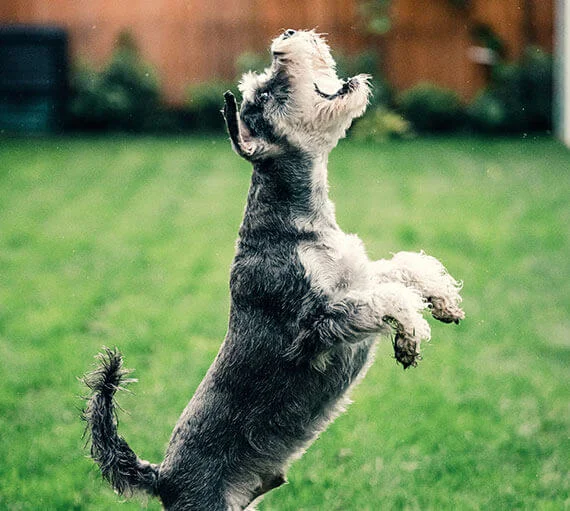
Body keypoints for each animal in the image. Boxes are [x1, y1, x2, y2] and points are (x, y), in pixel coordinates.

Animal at [82, 29, 464, 511]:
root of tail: (161, 476)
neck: (296, 218)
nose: (286, 36)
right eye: (265, 93)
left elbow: (404, 268)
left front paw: (444, 301)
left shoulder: (357, 278)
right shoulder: (315, 325)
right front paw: (411, 333)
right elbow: (385, 299)